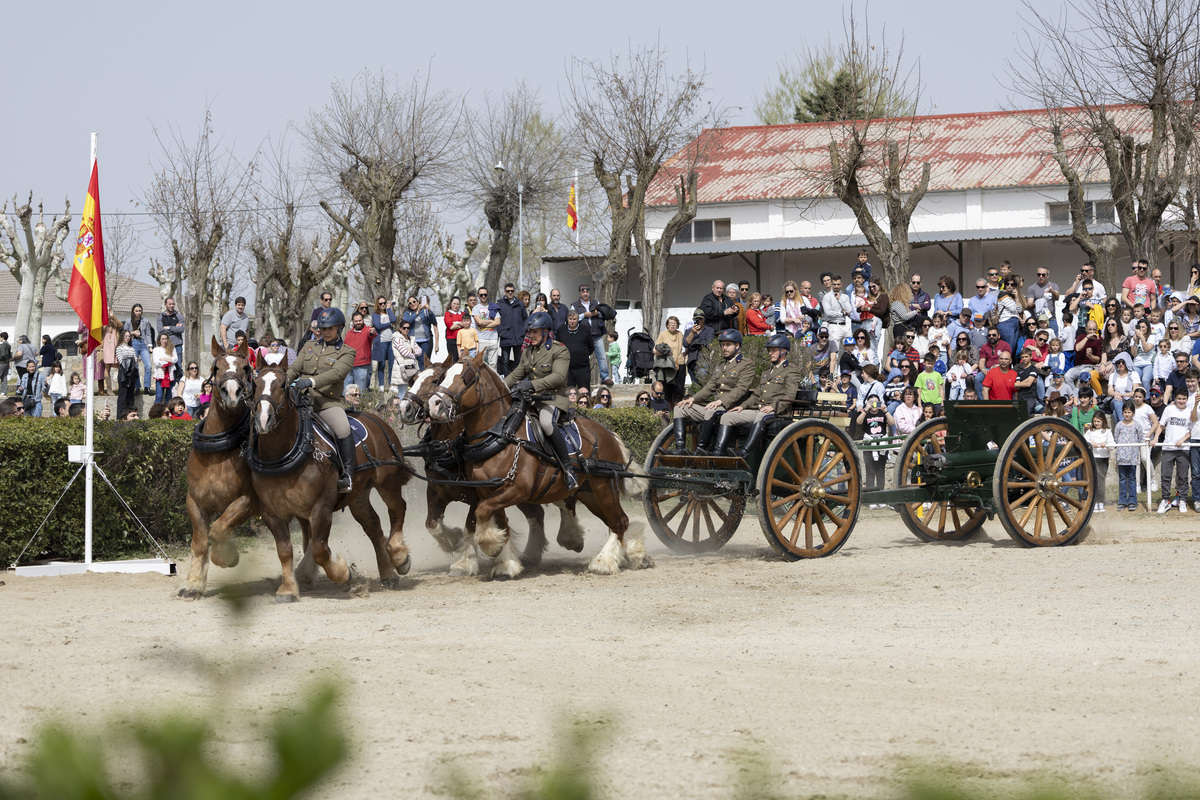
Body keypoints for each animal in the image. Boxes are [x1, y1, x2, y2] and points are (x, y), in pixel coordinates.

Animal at [177, 340, 258, 599]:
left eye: (245, 367)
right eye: (216, 367)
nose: (231, 393)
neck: (216, 456)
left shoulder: (247, 501)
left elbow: (218, 530)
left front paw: (227, 557)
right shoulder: (195, 502)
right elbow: (201, 541)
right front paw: (193, 583)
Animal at [246, 362, 410, 599]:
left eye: (284, 384)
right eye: (255, 383)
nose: (263, 419)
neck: (286, 454)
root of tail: (378, 420)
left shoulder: (321, 508)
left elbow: (320, 550)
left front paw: (344, 573)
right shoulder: (271, 512)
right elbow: (284, 551)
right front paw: (288, 589)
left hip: (387, 482)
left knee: (398, 509)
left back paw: (399, 556)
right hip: (358, 494)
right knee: (373, 526)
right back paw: (388, 573)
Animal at [403, 364, 585, 582]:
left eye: (434, 381)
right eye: (413, 380)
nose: (404, 408)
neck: (449, 447)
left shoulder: (478, 496)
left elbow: (471, 525)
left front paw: (466, 561)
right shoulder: (437, 490)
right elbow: (432, 523)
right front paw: (455, 540)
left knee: (561, 502)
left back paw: (570, 537)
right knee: (539, 512)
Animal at [429, 352, 657, 578]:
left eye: (465, 377)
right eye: (442, 377)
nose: (434, 404)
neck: (501, 434)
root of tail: (609, 433)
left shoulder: (516, 490)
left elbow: (483, 512)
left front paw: (492, 547)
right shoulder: (487, 491)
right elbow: (499, 522)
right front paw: (505, 561)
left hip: (604, 488)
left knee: (619, 522)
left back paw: (604, 562)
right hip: (589, 494)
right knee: (616, 520)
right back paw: (636, 555)